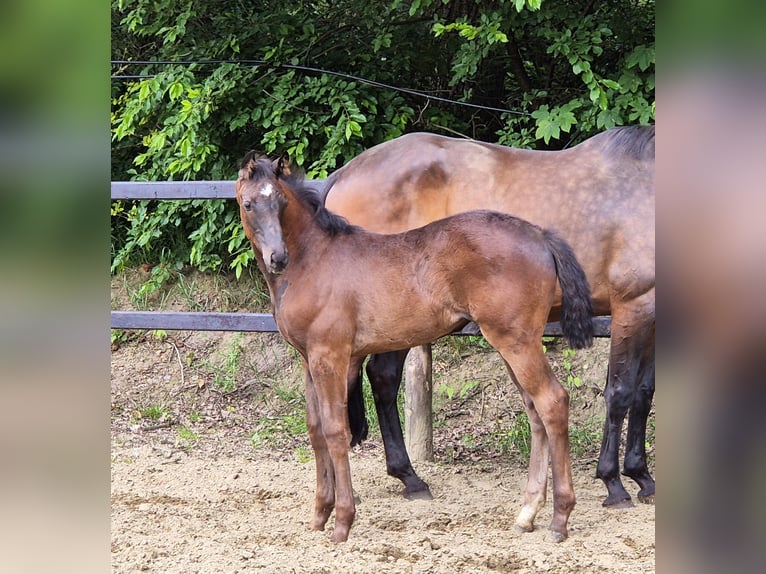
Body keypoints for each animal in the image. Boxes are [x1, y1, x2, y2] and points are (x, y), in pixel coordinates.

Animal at [237, 153, 596, 544]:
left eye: (282, 202)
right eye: (248, 203)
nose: (277, 258)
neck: (312, 261)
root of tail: (539, 235)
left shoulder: (329, 355)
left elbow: (335, 431)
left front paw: (343, 522)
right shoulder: (307, 359)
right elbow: (316, 430)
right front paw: (319, 515)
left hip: (516, 341)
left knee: (553, 402)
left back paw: (559, 518)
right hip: (512, 343)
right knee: (534, 412)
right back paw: (527, 513)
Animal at [320, 127, 656, 508]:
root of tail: (345, 173)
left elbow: (643, 393)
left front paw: (642, 476)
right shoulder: (632, 305)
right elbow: (620, 393)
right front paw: (613, 482)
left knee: (382, 378)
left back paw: (409, 478)